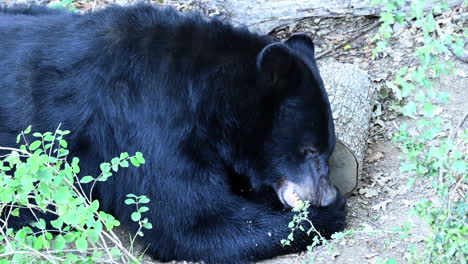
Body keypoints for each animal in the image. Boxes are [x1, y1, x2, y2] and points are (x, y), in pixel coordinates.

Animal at [0, 4, 344, 264]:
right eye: (309, 150)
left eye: (327, 150)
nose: (325, 194)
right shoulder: (146, 122)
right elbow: (188, 219)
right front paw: (328, 214)